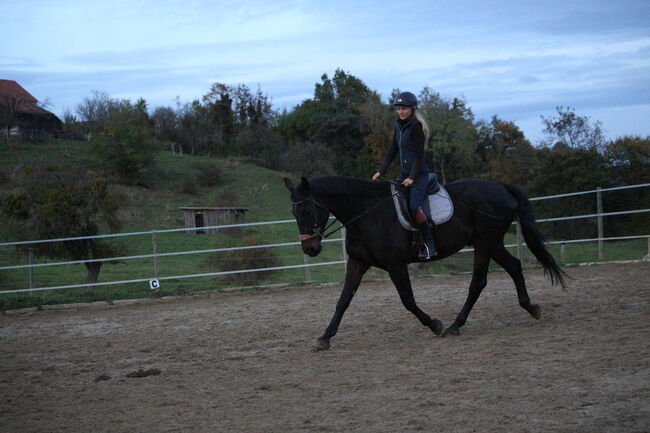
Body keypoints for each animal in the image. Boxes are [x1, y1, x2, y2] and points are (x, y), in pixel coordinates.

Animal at [280, 174, 564, 350]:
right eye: (293, 211)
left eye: (307, 209)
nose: (310, 248)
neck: (367, 212)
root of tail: (502, 187)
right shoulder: (358, 263)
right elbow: (343, 301)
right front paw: (324, 338)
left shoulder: (395, 265)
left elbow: (407, 300)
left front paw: (434, 325)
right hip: (492, 243)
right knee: (514, 267)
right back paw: (531, 307)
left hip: (485, 243)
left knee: (478, 282)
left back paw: (453, 326)